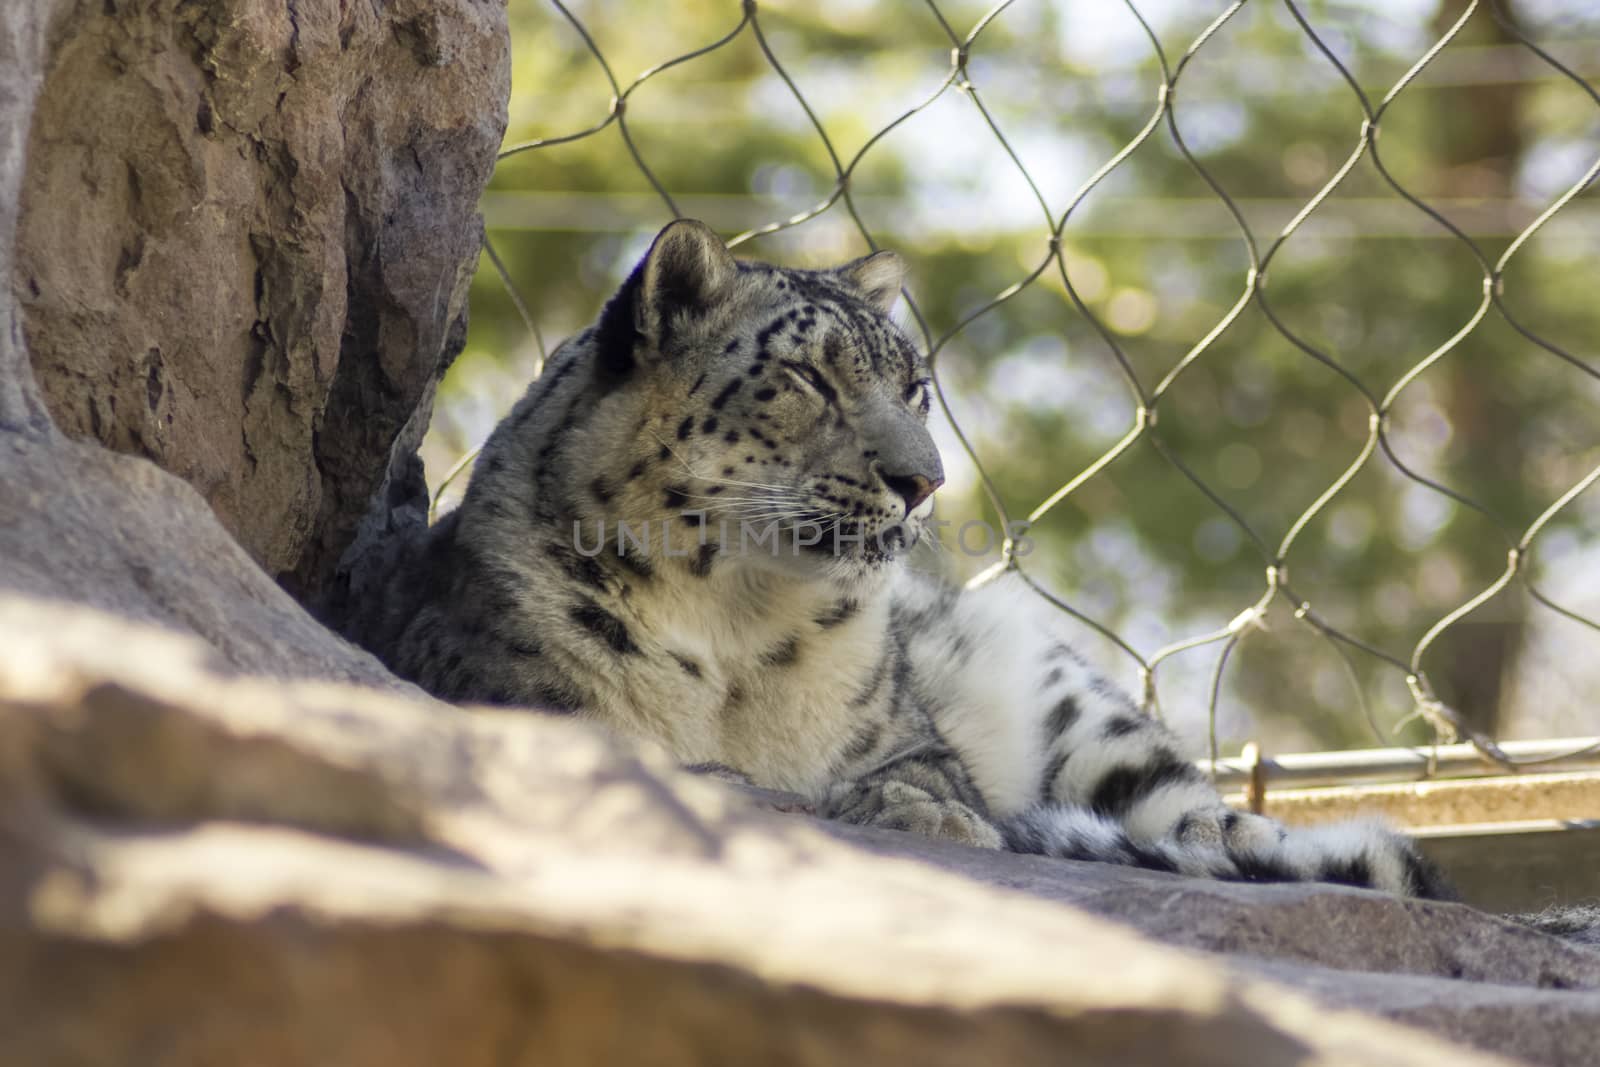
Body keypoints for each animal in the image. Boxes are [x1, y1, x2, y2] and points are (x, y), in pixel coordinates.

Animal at [350, 219, 1452, 902]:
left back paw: (1233, 838)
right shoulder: (516, 698)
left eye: (914, 385)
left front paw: (929, 810)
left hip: (1075, 705)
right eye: (805, 378)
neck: (735, 625)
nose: (922, 481)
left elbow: (920, 769)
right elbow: (687, 768)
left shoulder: (907, 730)